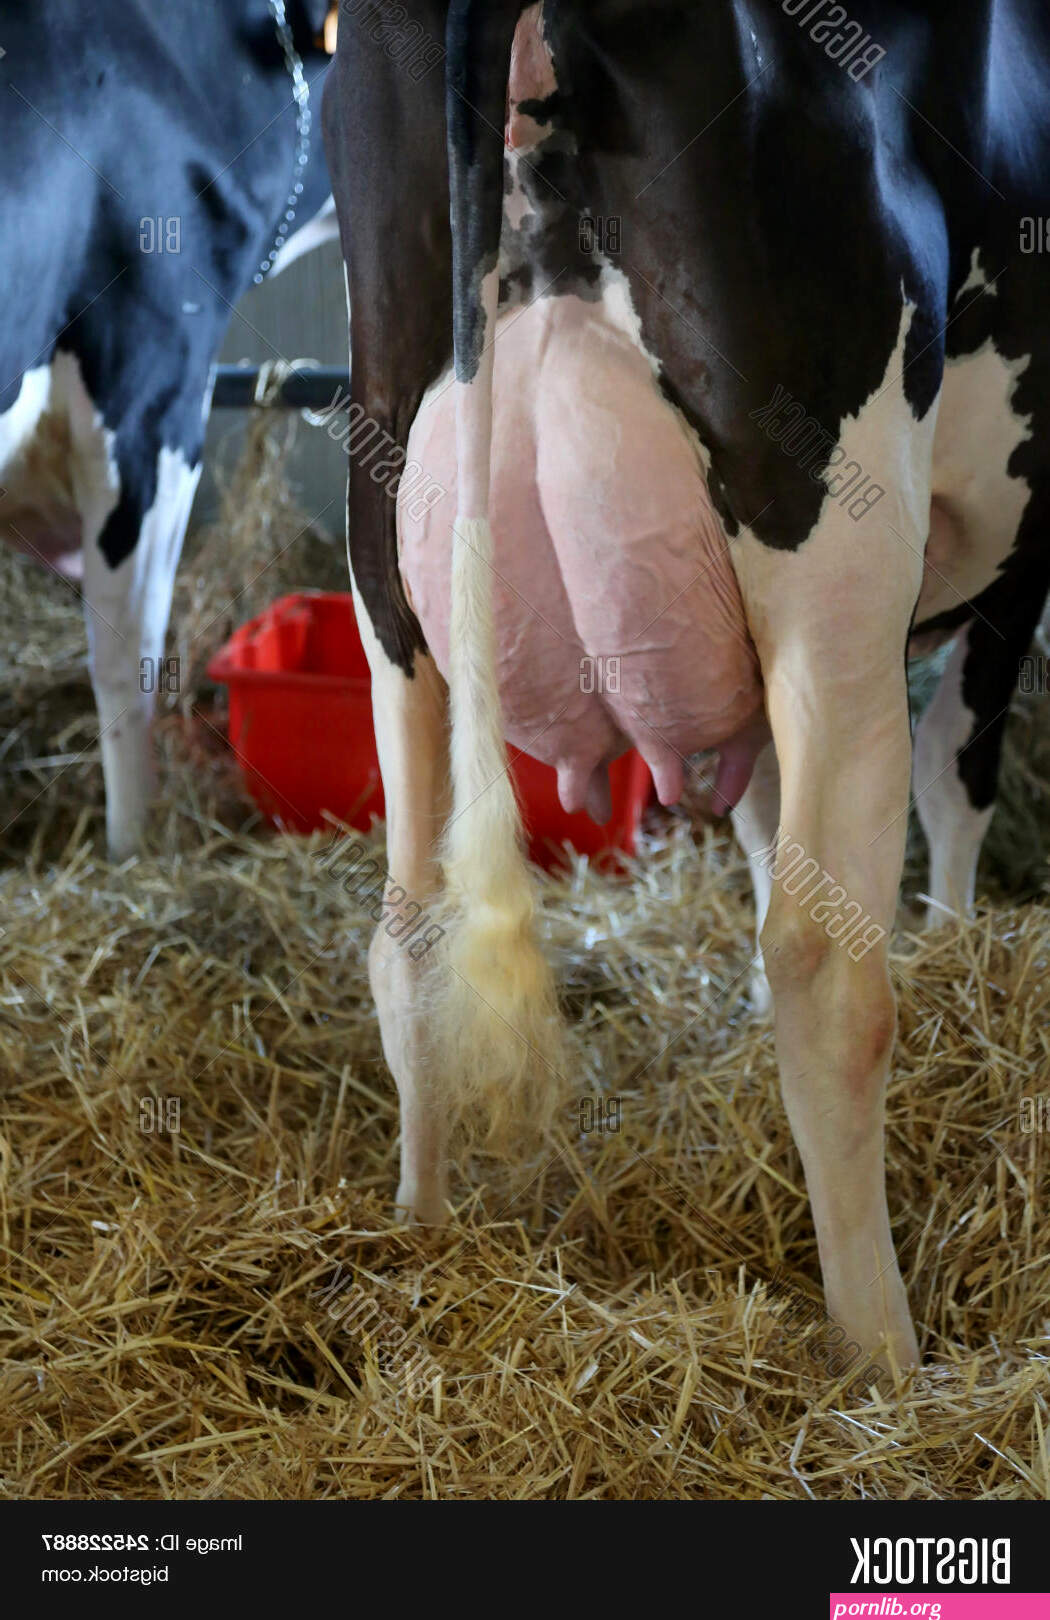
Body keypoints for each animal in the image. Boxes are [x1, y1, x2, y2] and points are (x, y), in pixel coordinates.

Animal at [324, 0, 1050, 1374]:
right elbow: (956, 766)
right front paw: (959, 949)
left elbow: (767, 822)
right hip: (836, 541)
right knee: (825, 966)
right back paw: (882, 1353)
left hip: (385, 543)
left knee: (408, 928)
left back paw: (420, 1233)